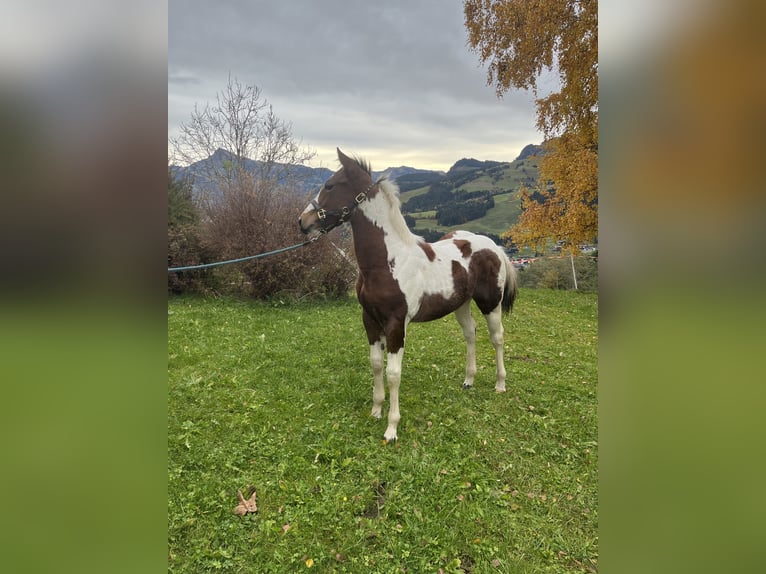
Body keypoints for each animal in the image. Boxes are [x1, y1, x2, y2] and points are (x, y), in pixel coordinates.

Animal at [299, 148, 518, 442]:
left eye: (330, 185)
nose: (302, 222)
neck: (388, 261)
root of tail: (495, 247)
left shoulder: (395, 324)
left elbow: (393, 373)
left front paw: (391, 428)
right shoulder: (370, 320)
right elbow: (376, 364)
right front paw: (375, 410)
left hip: (490, 303)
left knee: (497, 338)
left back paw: (500, 384)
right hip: (461, 304)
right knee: (470, 333)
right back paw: (468, 380)